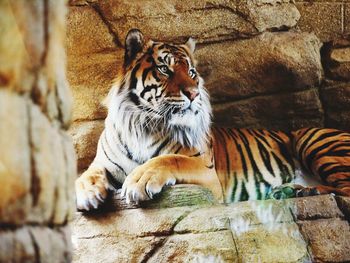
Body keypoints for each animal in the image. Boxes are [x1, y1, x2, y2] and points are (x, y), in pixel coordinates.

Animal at [75, 28, 350, 210]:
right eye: (164, 69)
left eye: (191, 72)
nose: (194, 94)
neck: (144, 124)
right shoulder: (103, 163)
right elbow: (86, 174)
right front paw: (87, 192)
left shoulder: (208, 172)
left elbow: (169, 159)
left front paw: (139, 180)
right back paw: (292, 190)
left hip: (313, 139)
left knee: (346, 191)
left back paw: (305, 191)